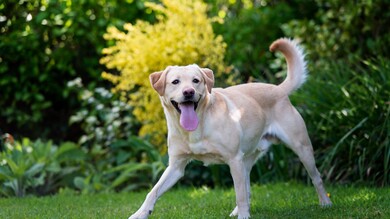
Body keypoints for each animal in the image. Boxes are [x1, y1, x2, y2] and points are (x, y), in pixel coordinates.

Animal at [129, 39, 330, 219]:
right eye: (175, 82)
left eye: (196, 81)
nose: (189, 92)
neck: (198, 126)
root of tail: (278, 89)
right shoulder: (176, 166)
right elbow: (153, 191)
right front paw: (140, 213)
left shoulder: (234, 160)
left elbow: (239, 193)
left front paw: (244, 216)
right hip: (247, 160)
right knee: (247, 188)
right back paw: (237, 211)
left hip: (301, 149)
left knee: (317, 177)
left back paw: (325, 203)